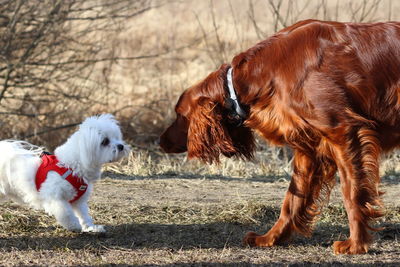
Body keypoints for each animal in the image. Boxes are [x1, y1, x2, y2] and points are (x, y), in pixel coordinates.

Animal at [0, 114, 129, 233]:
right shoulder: (55, 198)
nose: (121, 146)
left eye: (116, 137)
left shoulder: (79, 201)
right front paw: (74, 225)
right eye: (105, 141)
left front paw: (91, 227)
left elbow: (84, 215)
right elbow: (66, 213)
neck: (71, 166)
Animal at [160, 19, 400, 254]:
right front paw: (270, 238)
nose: (160, 141)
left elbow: (352, 192)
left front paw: (356, 244)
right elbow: (292, 200)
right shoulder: (309, 148)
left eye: (179, 114)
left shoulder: (344, 133)